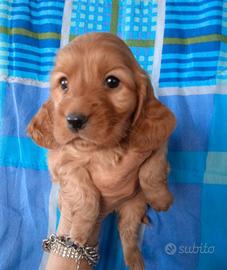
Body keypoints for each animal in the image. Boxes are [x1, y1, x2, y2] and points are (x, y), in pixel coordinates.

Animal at [27, 32, 176, 270]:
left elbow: (152, 171)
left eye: (112, 81)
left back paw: (135, 260)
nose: (74, 120)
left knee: (128, 231)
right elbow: (86, 193)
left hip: (133, 205)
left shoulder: (156, 144)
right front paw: (79, 232)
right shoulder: (62, 162)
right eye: (63, 83)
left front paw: (161, 199)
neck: (103, 148)